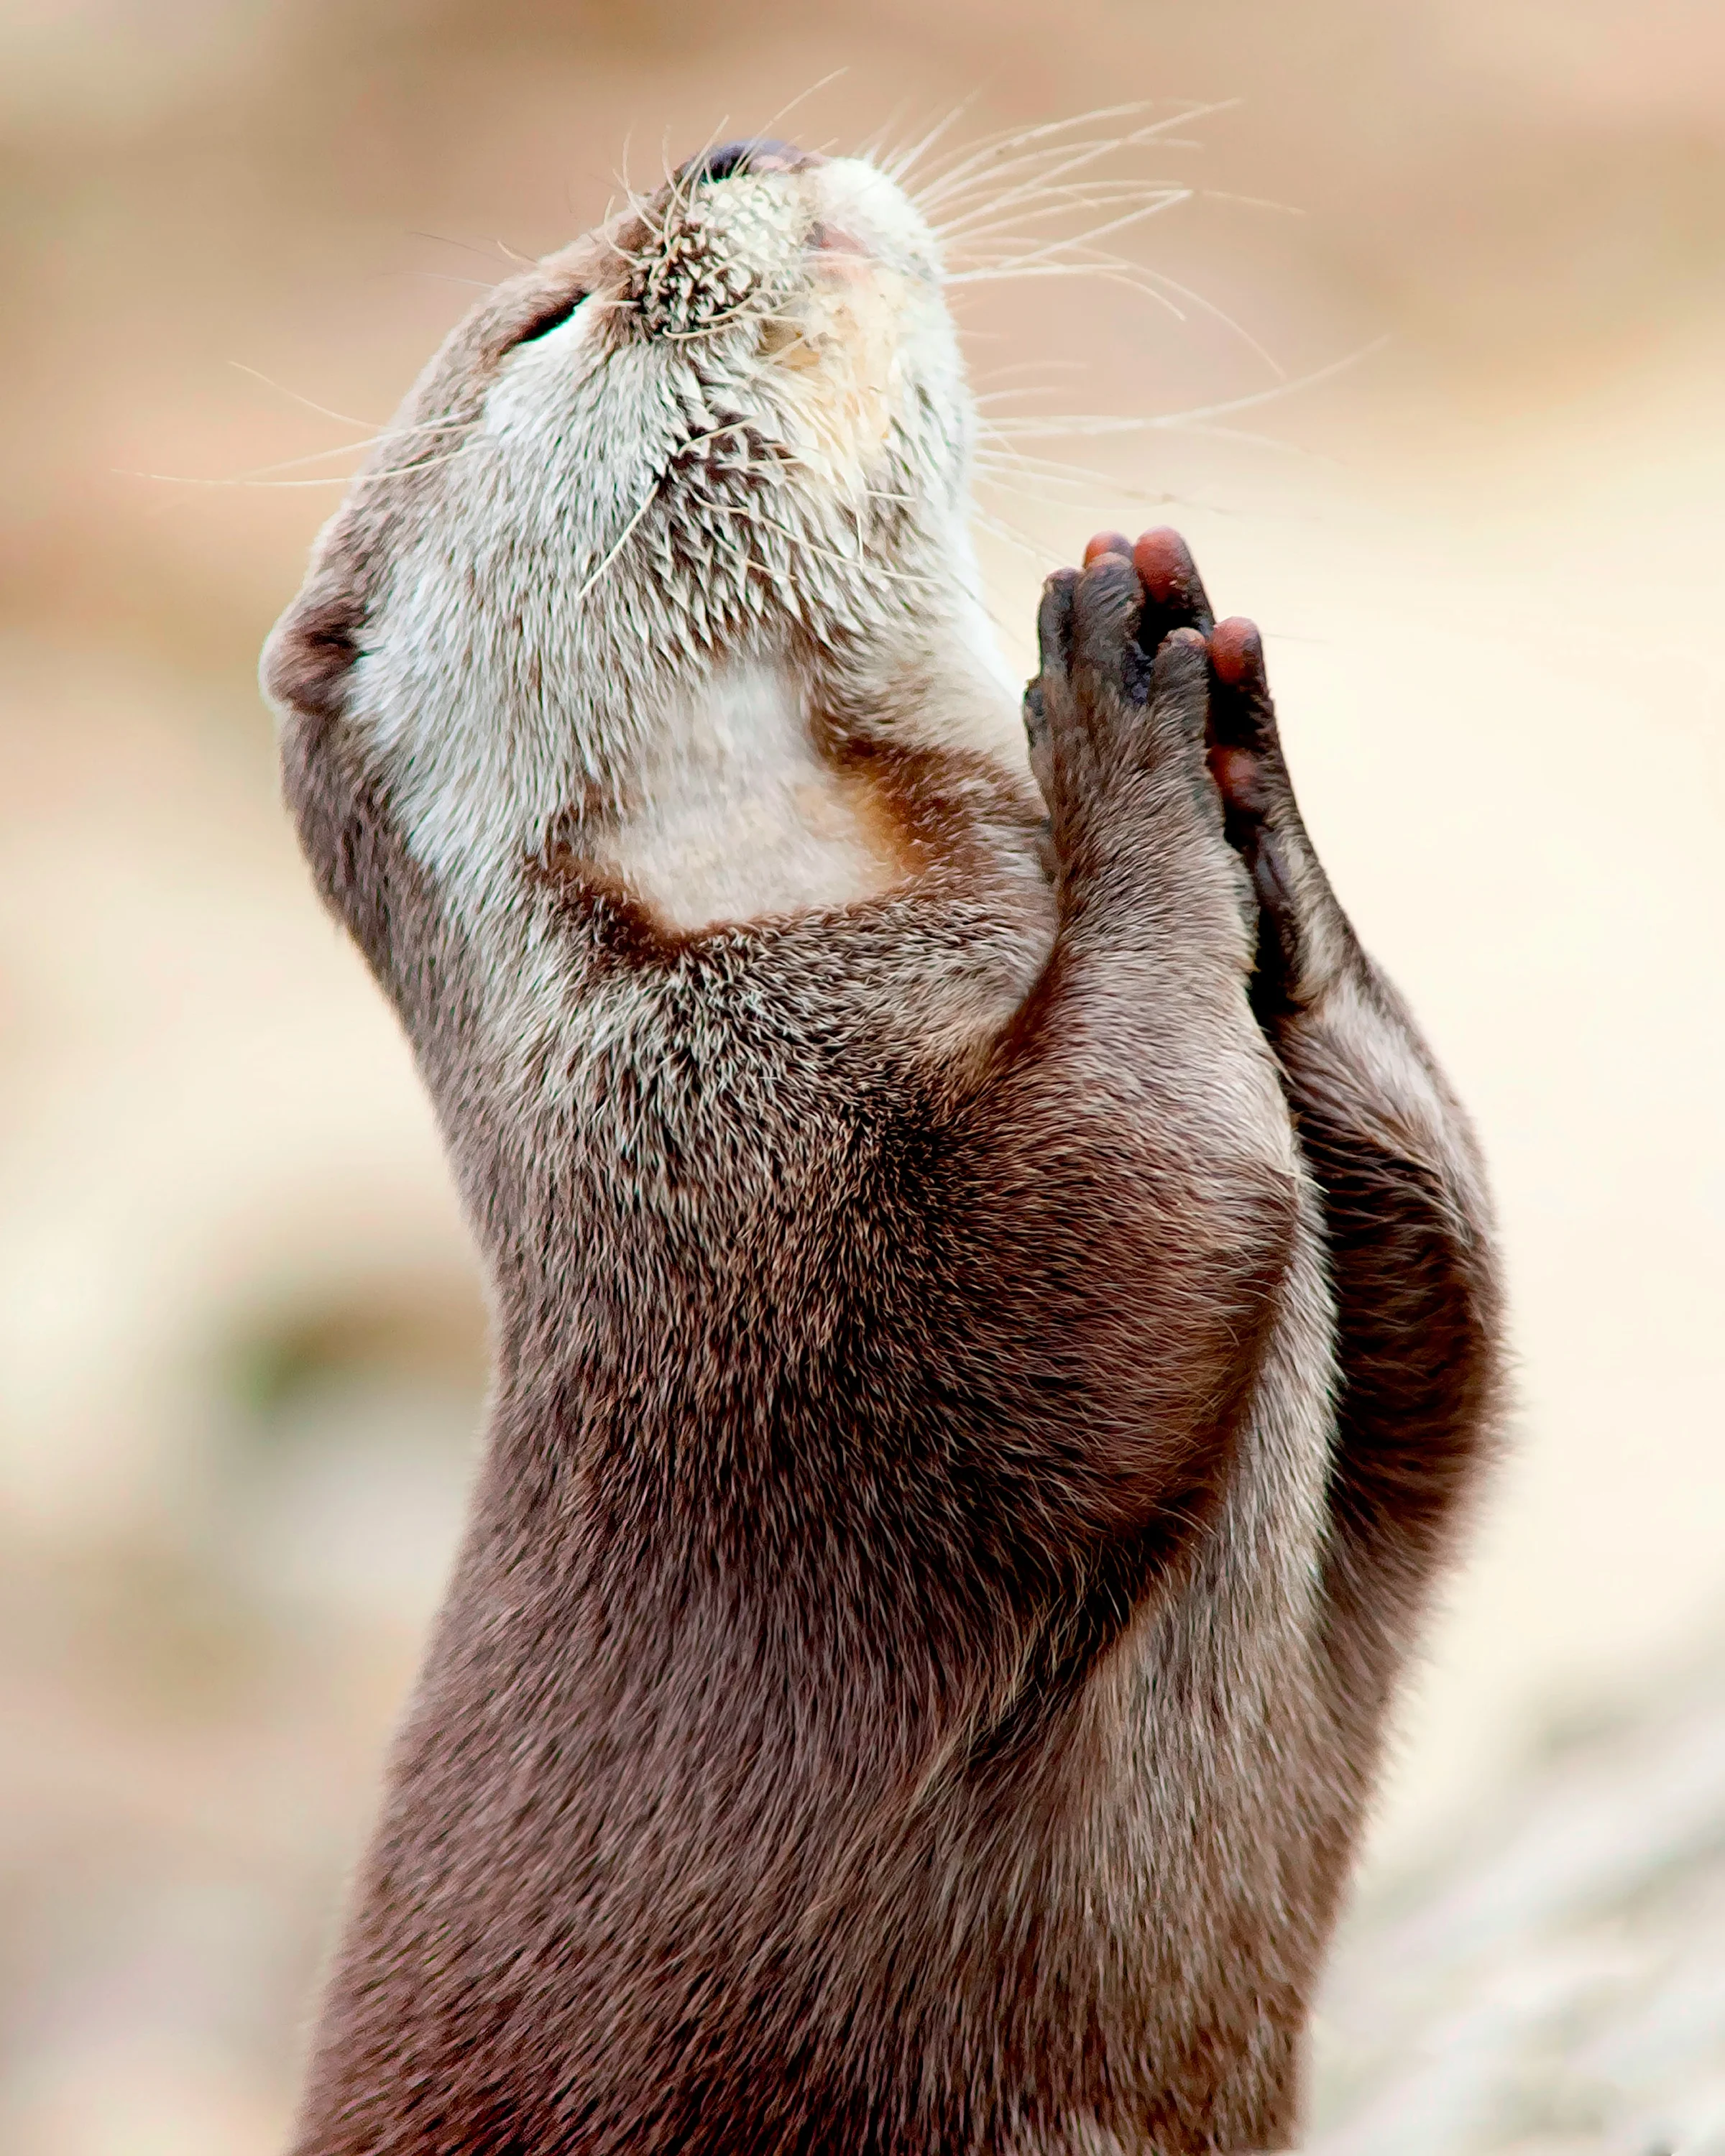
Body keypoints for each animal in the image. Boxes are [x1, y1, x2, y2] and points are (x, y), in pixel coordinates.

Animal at [263, 137, 1501, 2155]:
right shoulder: (764, 1216)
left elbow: (1444, 1307)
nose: (729, 148)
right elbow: (1122, 1214)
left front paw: (1239, 758)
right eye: (549, 318)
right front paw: (1111, 707)